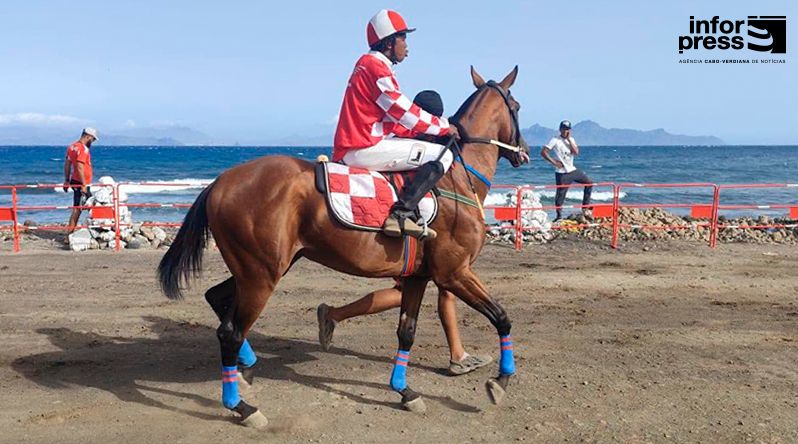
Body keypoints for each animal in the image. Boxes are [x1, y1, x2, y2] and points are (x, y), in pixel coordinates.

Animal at [158, 66, 530, 428]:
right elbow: (502, 317)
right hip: (261, 275)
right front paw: (501, 381)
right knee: (230, 333)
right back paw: (243, 407)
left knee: (217, 300)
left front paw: (405, 391)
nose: (525, 152)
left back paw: (246, 366)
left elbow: (406, 332)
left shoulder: (417, 277)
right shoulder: (454, 273)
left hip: (260, 268)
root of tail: (221, 181)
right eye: (517, 106)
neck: (458, 180)